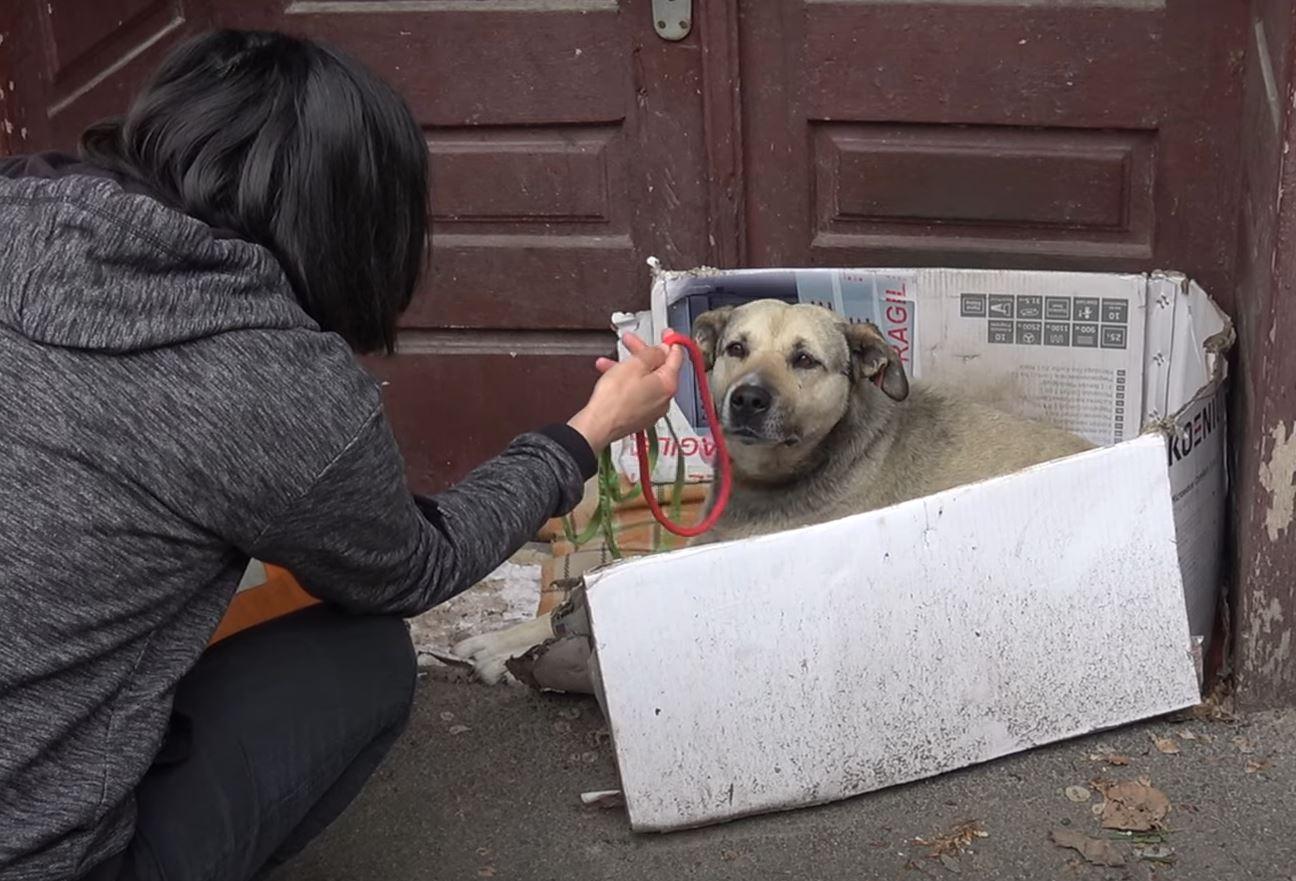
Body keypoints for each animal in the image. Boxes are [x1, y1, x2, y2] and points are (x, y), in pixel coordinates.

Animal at [456, 299, 1093, 684]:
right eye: (736, 348)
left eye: (805, 360)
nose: (748, 398)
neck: (772, 480)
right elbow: (574, 603)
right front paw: (504, 638)